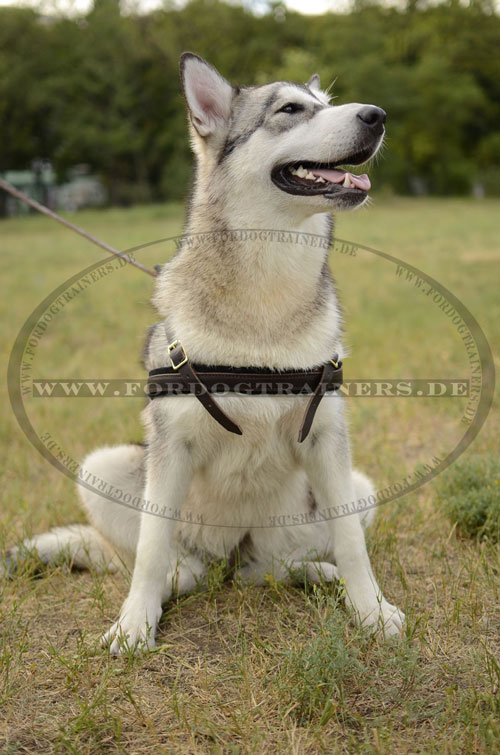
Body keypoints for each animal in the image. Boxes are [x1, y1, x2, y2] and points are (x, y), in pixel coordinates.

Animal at [7, 54, 404, 656]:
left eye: (329, 104)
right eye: (291, 109)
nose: (378, 115)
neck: (266, 292)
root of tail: (226, 559)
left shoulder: (328, 440)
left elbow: (353, 546)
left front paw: (372, 612)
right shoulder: (171, 448)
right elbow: (149, 551)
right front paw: (133, 625)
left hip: (350, 494)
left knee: (267, 568)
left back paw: (316, 574)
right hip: (104, 468)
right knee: (176, 566)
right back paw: (172, 585)